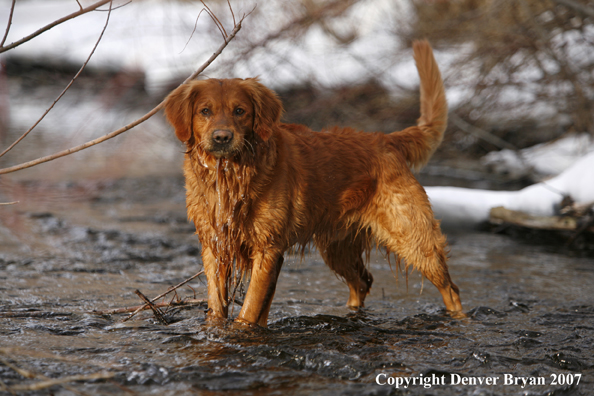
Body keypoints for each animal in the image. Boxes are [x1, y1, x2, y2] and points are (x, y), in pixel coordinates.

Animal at [164, 40, 460, 326]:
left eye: (240, 111)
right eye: (205, 111)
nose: (222, 137)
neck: (231, 177)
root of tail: (386, 139)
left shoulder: (267, 248)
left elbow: (249, 309)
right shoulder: (214, 246)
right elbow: (219, 305)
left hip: (413, 238)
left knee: (450, 289)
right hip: (338, 248)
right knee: (363, 282)